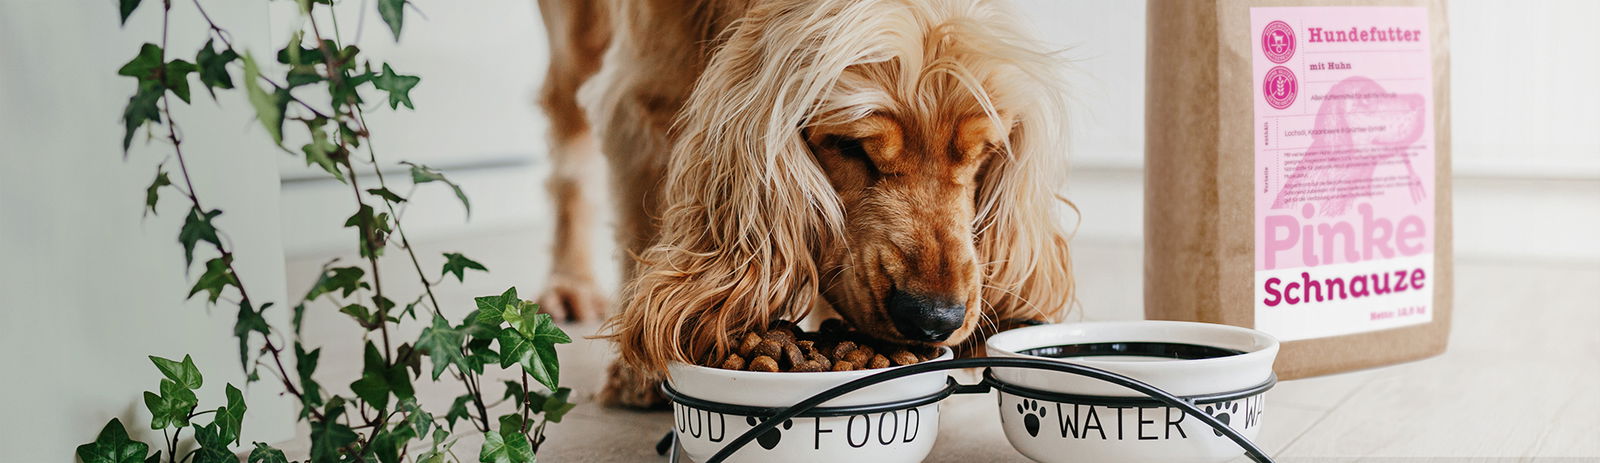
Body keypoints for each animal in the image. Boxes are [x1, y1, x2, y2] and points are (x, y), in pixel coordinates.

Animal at [534, 0, 1075, 405]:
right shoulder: (640, 99)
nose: (934, 319)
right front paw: (640, 376)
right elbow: (641, 226)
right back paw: (569, 284)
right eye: (852, 146)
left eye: (985, 151)